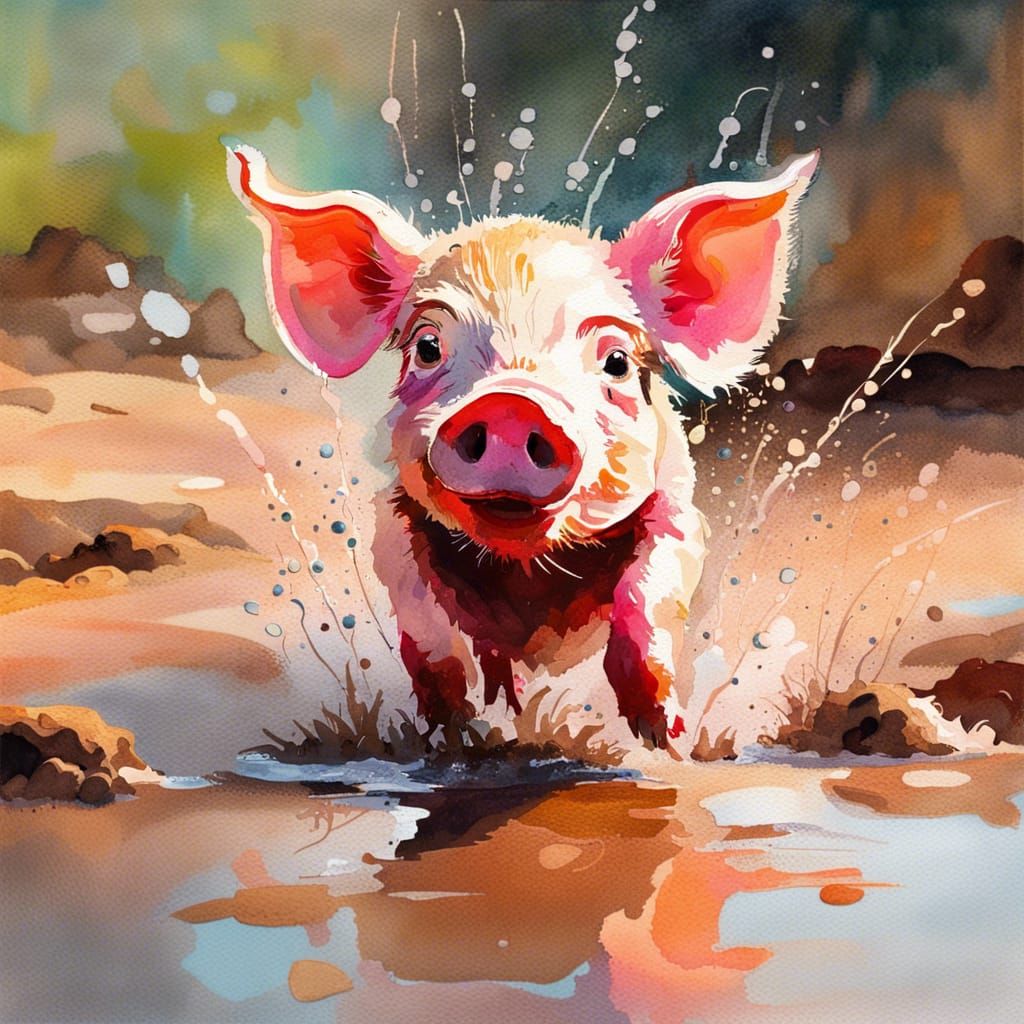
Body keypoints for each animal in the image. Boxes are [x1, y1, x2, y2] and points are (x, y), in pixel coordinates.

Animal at [227, 142, 818, 751]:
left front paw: (663, 738)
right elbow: (432, 640)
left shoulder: (679, 518)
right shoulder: (392, 532)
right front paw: (453, 737)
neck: (527, 572)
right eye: (428, 347)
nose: (511, 405)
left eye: (617, 361)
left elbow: (645, 605)